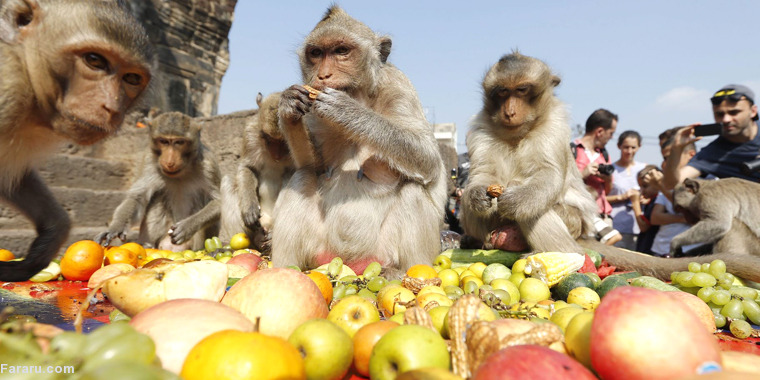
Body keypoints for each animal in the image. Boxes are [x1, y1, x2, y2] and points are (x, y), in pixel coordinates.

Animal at [93, 110, 221, 252]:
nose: (169, 161)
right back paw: (147, 245)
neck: (182, 171)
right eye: (164, 141)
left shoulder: (209, 165)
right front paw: (116, 227)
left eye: (179, 142)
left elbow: (218, 202)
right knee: (158, 199)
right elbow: (137, 198)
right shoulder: (148, 160)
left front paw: (187, 226)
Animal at [220, 90, 294, 248]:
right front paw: (249, 208)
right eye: (269, 139)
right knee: (228, 180)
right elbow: (248, 167)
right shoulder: (250, 133)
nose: (276, 155)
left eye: (283, 141)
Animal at [270, 5, 448, 276]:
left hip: (383, 251)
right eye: (316, 53)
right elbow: (314, 166)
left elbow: (426, 158)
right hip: (320, 251)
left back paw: (403, 273)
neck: (362, 95)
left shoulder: (398, 85)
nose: (323, 75)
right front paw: (288, 106)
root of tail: (352, 264)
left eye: (341, 51)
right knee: (302, 177)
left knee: (413, 189)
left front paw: (348, 111)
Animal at [458, 51, 600, 255]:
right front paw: (478, 196)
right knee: (466, 199)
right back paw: (478, 241)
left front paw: (515, 200)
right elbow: (483, 173)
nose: (509, 112)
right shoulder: (481, 130)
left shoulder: (554, 127)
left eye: (522, 90)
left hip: (573, 222)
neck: (518, 135)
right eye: (502, 92)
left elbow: (549, 173)